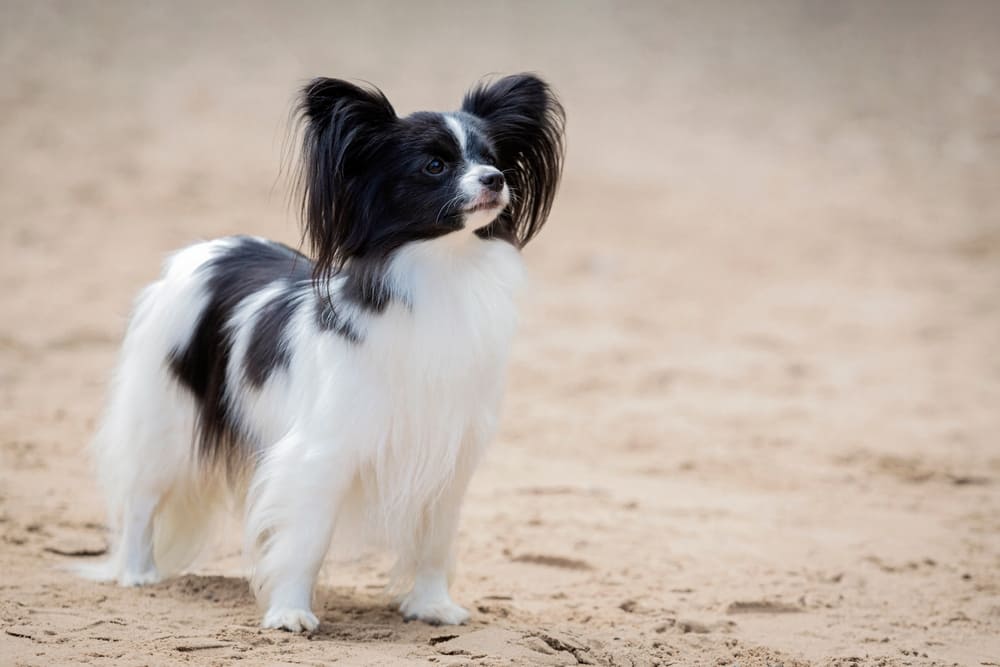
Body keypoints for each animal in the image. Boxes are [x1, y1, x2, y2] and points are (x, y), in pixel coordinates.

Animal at [78, 75, 564, 636]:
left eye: (494, 157)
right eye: (434, 165)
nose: (495, 179)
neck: (442, 268)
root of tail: (205, 251)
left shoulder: (449, 456)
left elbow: (434, 542)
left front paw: (432, 607)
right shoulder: (322, 451)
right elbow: (306, 539)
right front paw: (290, 612)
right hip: (165, 420)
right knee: (141, 497)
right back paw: (137, 573)